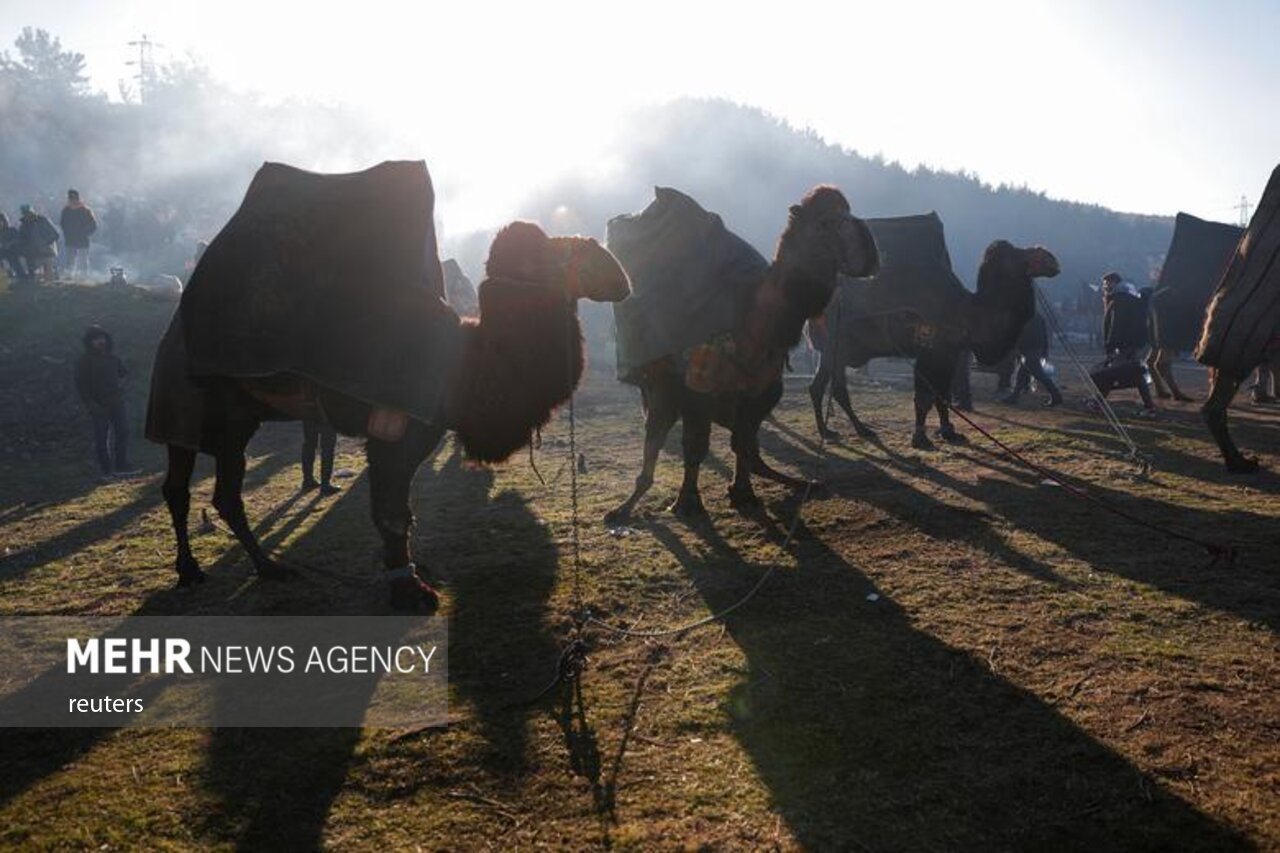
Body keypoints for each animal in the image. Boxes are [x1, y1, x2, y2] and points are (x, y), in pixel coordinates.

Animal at [149, 219, 629, 604]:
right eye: (563, 254)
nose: (620, 276)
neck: (467, 360)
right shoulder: (396, 433)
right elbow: (393, 511)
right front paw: (409, 588)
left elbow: (400, 509)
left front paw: (412, 572)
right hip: (183, 407)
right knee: (179, 489)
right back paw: (194, 570)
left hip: (236, 422)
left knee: (224, 495)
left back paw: (266, 567)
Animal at [609, 185, 880, 517]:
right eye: (825, 222)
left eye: (847, 212)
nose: (869, 245)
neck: (755, 320)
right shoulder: (697, 386)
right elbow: (696, 444)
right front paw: (687, 502)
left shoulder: (761, 388)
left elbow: (743, 440)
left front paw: (744, 493)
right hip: (661, 384)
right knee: (656, 433)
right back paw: (626, 505)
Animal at [803, 239, 1064, 445]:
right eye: (1018, 254)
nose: (1050, 258)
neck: (968, 311)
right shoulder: (932, 352)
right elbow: (925, 397)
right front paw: (920, 437)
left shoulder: (949, 354)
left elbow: (942, 395)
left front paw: (949, 432)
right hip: (837, 347)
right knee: (837, 389)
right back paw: (859, 429)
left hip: (831, 352)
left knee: (818, 387)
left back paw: (828, 430)